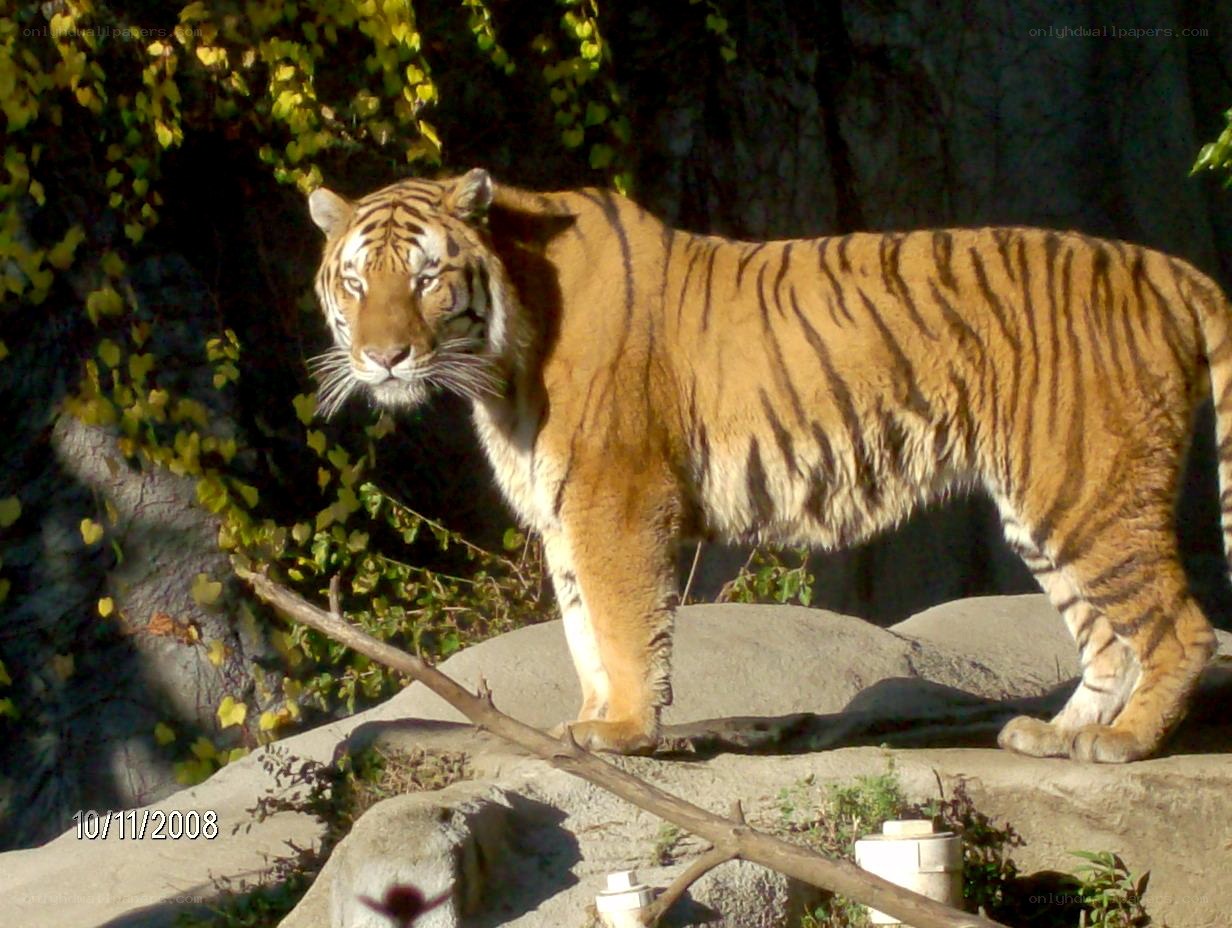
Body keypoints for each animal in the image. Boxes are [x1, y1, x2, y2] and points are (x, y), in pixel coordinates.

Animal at [306, 168, 1225, 763]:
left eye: (427, 277)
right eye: (354, 283)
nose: (383, 357)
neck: (502, 356)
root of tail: (1163, 265)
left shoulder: (615, 500)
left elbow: (621, 623)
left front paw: (625, 730)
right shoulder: (564, 512)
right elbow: (580, 627)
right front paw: (585, 719)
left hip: (1090, 489)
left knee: (1182, 630)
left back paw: (1123, 744)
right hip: (1046, 506)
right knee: (1108, 639)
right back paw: (1061, 735)